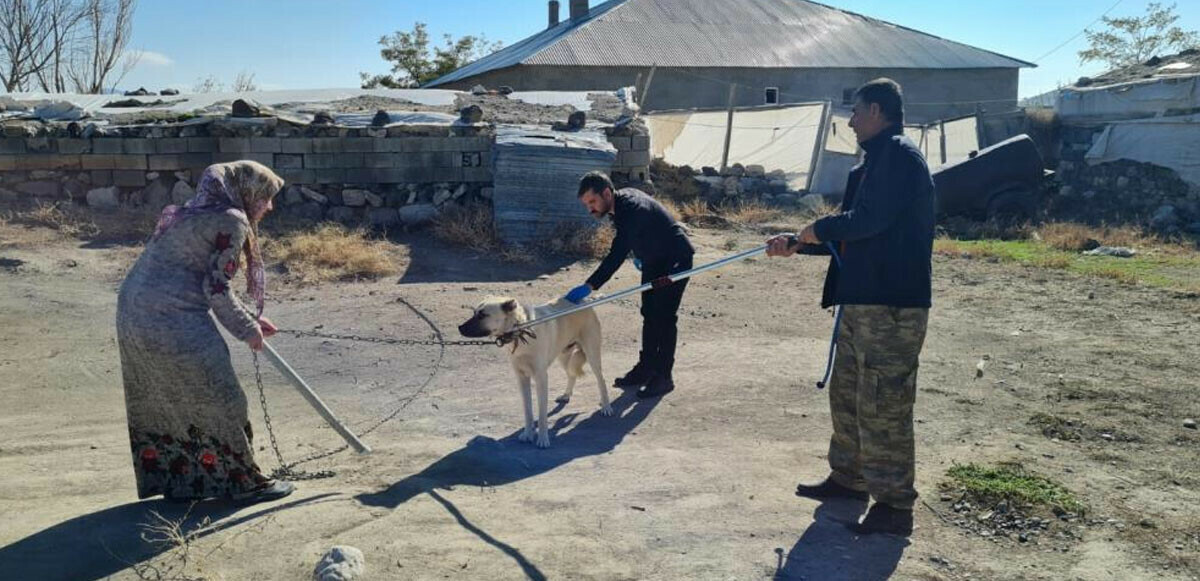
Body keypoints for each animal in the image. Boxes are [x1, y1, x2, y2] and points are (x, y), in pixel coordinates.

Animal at [456, 297, 614, 446]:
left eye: (483, 315)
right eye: (474, 313)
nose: (459, 327)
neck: (520, 332)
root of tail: (585, 301)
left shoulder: (541, 377)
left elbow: (542, 413)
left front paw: (543, 439)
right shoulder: (522, 378)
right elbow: (528, 411)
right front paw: (528, 434)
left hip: (592, 355)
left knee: (601, 380)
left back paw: (606, 406)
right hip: (563, 355)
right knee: (571, 374)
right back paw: (566, 395)